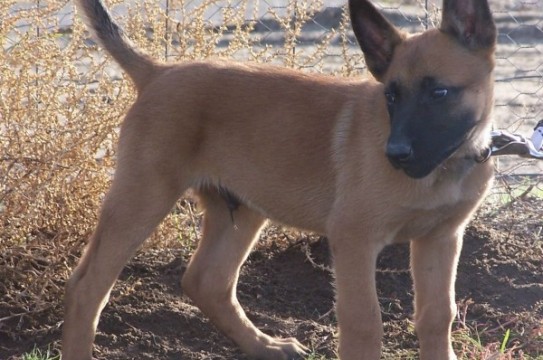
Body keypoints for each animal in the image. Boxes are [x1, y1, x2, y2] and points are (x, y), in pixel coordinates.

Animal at [62, 0, 498, 360]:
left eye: (439, 93)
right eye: (391, 96)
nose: (395, 154)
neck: (446, 167)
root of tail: (158, 72)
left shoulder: (441, 238)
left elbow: (437, 315)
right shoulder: (354, 239)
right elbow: (364, 323)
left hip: (241, 211)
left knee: (207, 281)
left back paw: (264, 346)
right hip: (143, 198)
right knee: (86, 287)